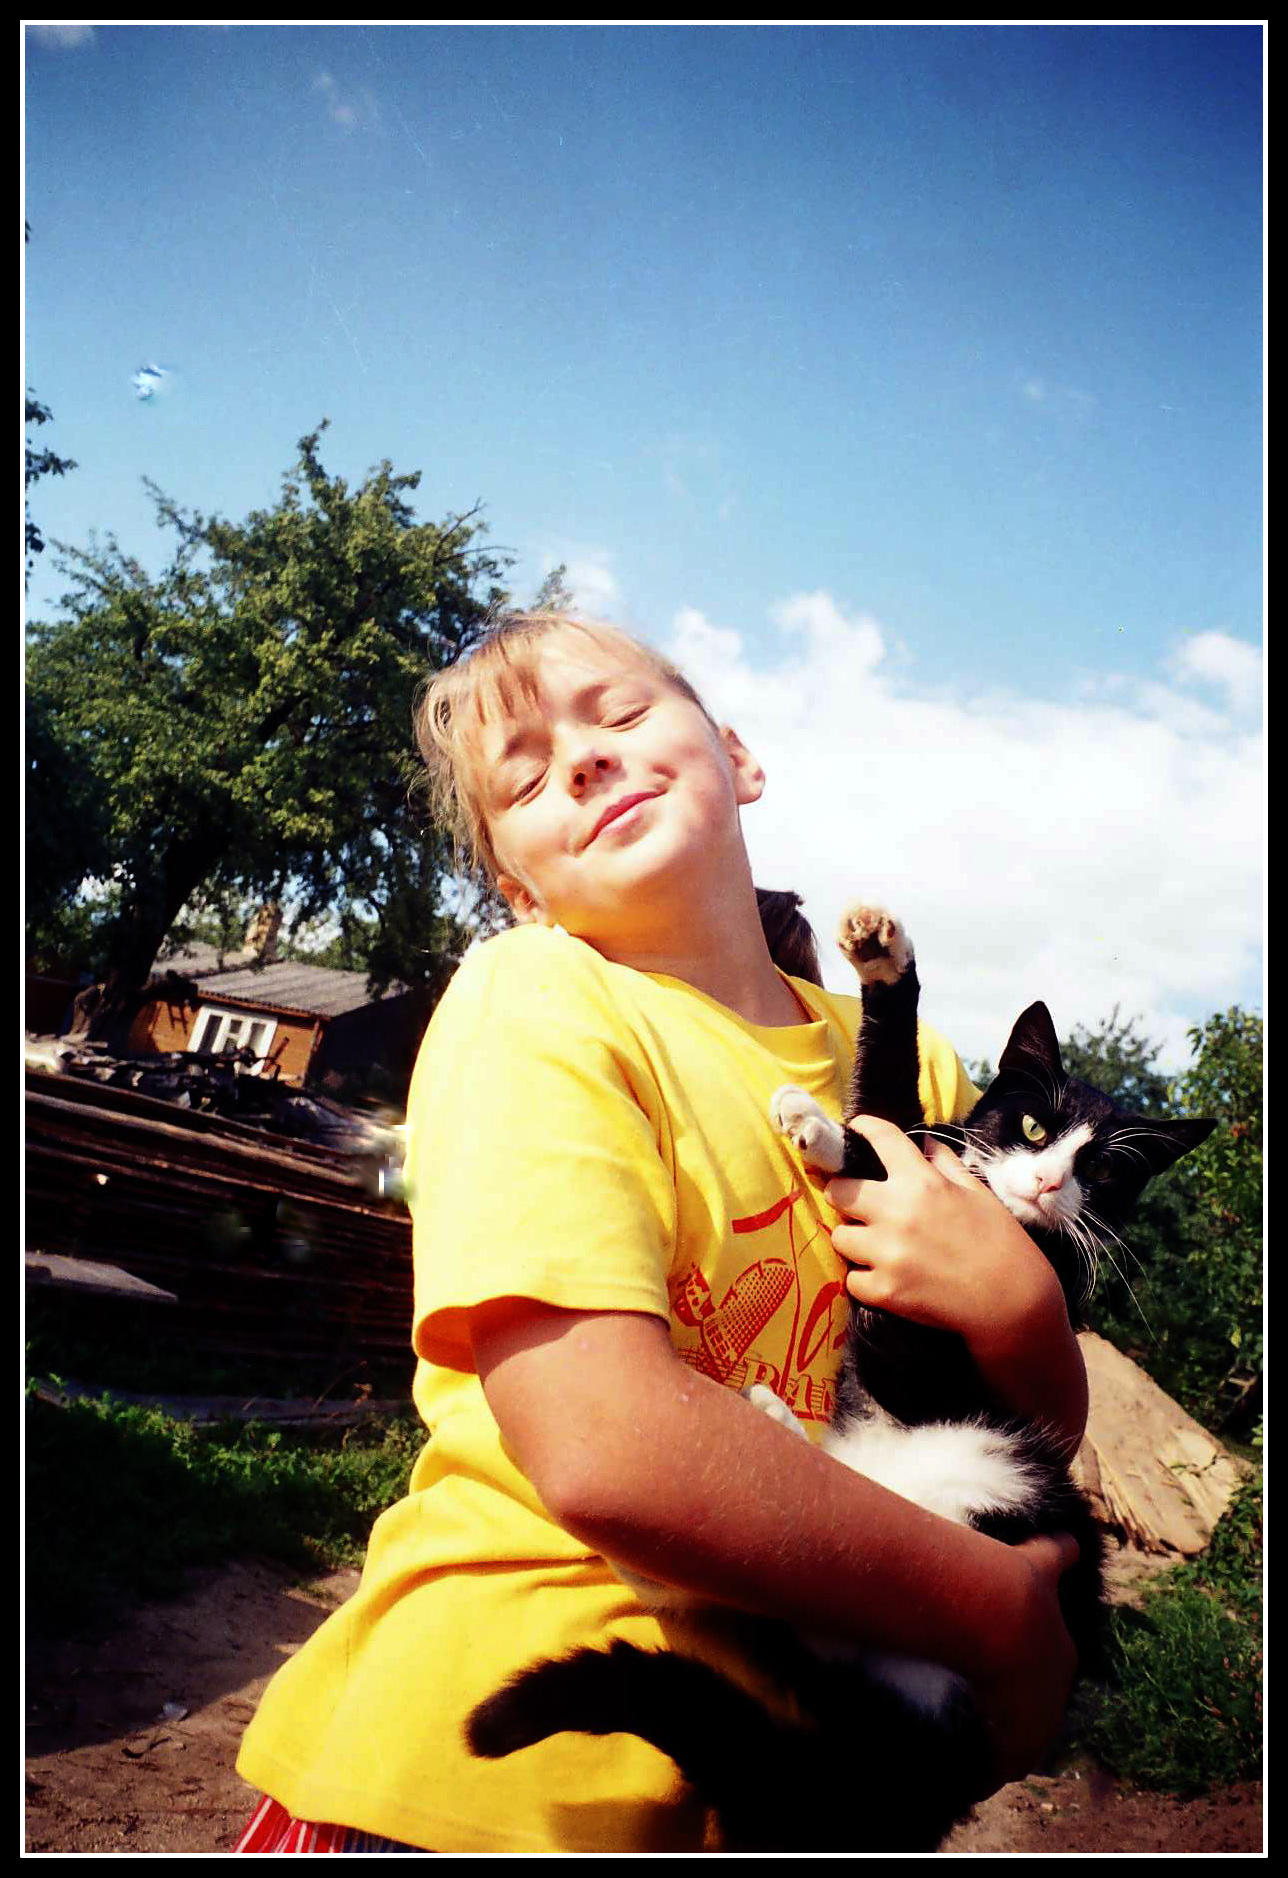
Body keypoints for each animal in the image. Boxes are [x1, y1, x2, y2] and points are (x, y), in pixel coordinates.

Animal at [466, 905, 1215, 1851]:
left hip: (978, 1513)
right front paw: (880, 967)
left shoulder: (939, 1332)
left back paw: (670, 1566)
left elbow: (893, 1175)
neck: (1002, 1217)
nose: (1049, 1183)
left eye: (1106, 1171)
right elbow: (890, 1112)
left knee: (820, 1619)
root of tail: (905, 1776)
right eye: (1035, 1130)